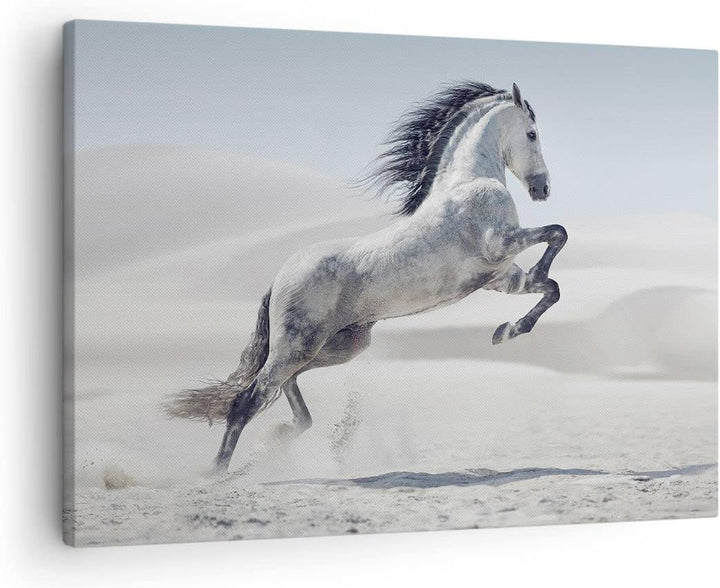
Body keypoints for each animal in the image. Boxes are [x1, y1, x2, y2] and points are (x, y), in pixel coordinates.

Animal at [165, 81, 568, 472]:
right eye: (532, 134)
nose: (543, 189)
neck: (468, 182)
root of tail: (279, 278)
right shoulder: (500, 244)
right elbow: (557, 233)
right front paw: (524, 299)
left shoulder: (500, 276)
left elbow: (551, 288)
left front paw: (506, 330)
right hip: (299, 345)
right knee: (248, 400)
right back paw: (218, 473)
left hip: (338, 346)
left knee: (284, 388)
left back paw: (276, 441)